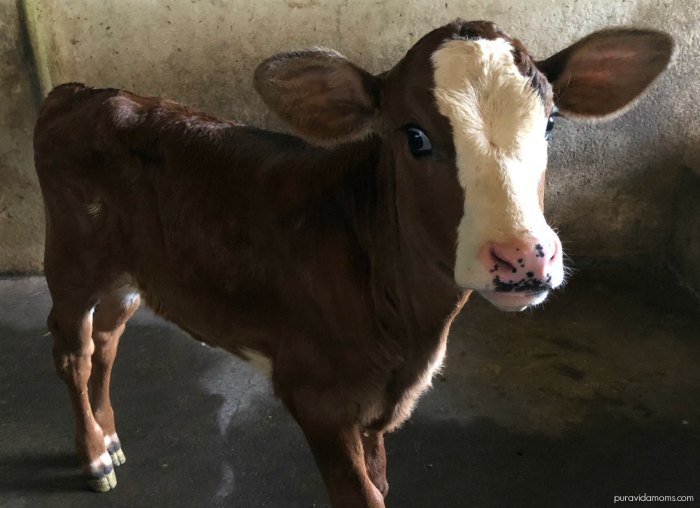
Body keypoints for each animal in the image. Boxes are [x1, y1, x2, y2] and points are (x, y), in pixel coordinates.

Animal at [34, 19, 672, 507]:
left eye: (550, 124)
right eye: (414, 137)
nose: (523, 256)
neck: (408, 332)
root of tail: (80, 92)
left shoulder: (378, 404)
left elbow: (381, 481)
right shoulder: (316, 395)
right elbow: (360, 495)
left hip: (129, 272)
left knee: (108, 339)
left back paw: (111, 437)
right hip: (71, 257)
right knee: (72, 350)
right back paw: (94, 456)